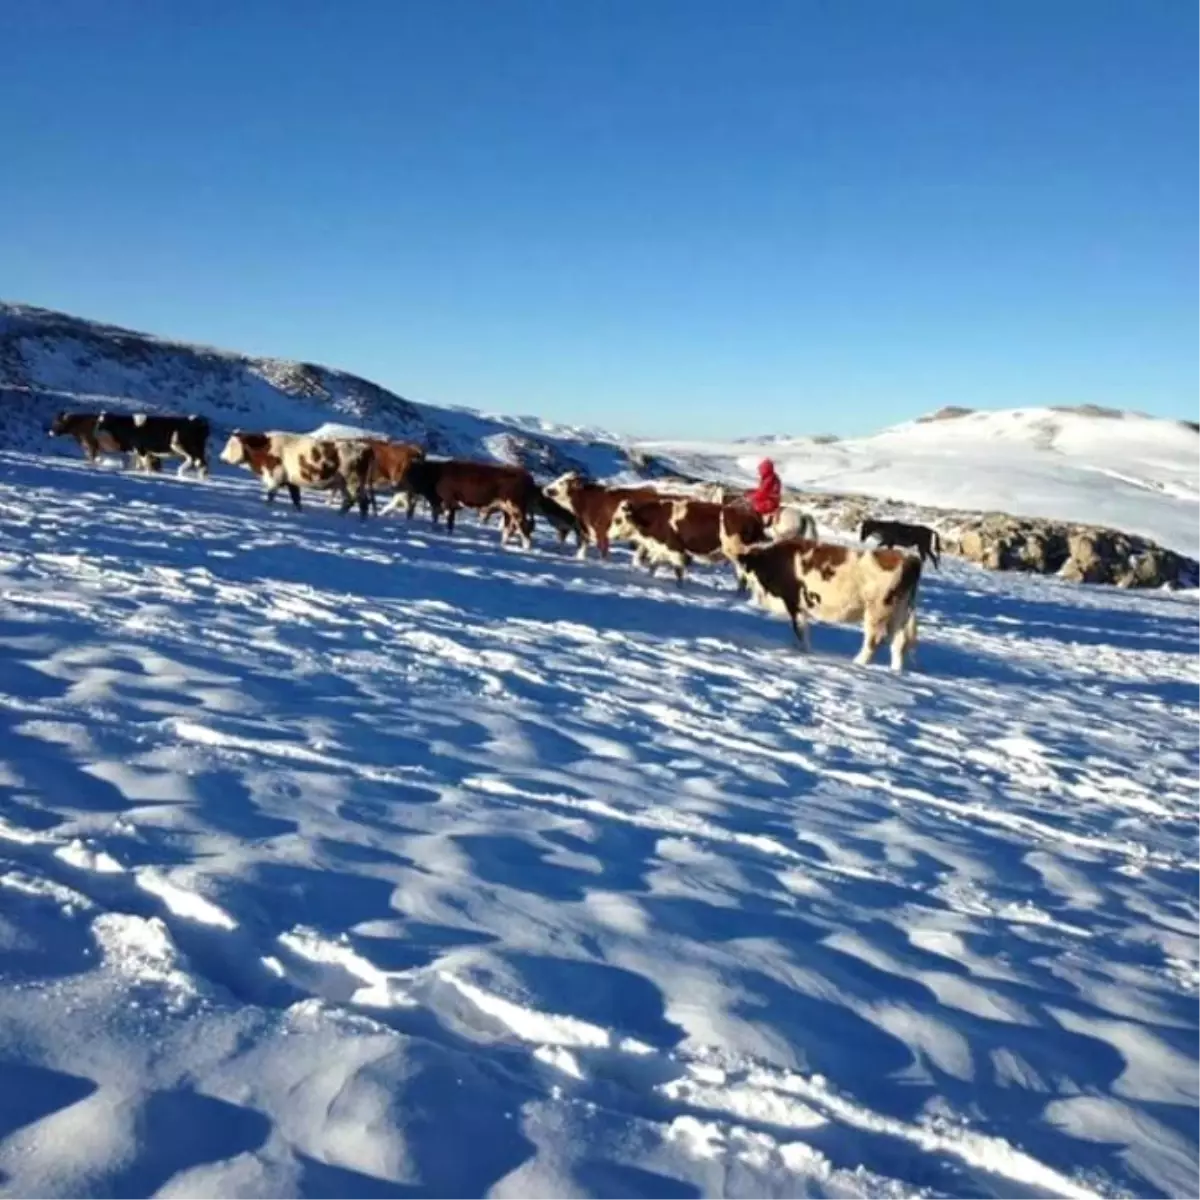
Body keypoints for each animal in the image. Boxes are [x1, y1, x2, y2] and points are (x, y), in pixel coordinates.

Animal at [218, 432, 372, 516]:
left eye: (232, 445)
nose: (221, 458)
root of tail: (364, 447)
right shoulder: (291, 482)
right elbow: (296, 499)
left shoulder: (275, 479)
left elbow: (270, 497)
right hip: (344, 485)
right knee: (358, 502)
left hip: (352, 483)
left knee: (356, 501)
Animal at [400, 458, 537, 549]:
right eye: (408, 471)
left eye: (413, 472)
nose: (403, 482)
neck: (436, 474)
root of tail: (526, 476)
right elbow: (438, 518)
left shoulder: (449, 501)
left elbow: (449, 520)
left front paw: (447, 534)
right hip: (507, 510)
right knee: (508, 528)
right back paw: (502, 545)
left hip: (515, 507)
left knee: (524, 527)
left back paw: (526, 548)